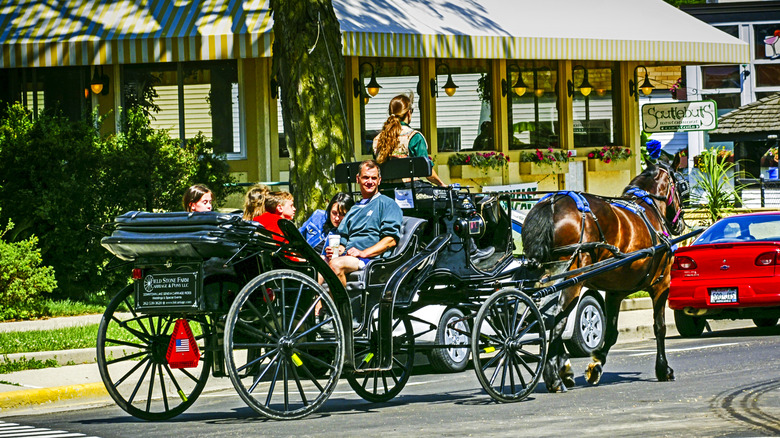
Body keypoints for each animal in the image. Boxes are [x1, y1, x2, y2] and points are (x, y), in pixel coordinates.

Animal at [524, 159, 684, 392]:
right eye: (681, 184)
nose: (680, 223)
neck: (648, 206)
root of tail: (552, 203)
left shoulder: (615, 292)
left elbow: (611, 332)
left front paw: (596, 364)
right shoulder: (661, 284)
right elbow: (659, 327)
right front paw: (664, 369)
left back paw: (563, 370)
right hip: (571, 280)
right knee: (556, 320)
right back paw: (554, 377)